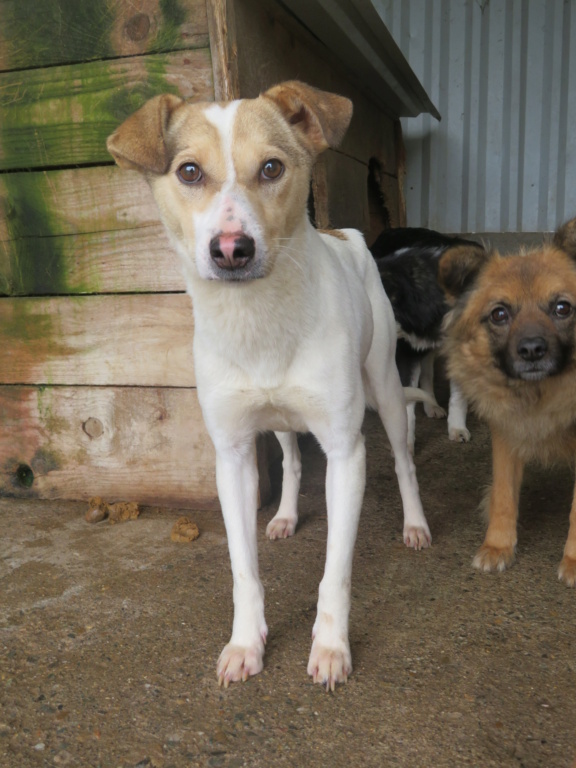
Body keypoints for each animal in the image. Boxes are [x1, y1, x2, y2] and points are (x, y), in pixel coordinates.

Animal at [109, 82, 432, 688]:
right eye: (189, 171)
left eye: (272, 167)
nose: (232, 249)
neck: (257, 320)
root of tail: (341, 232)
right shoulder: (232, 456)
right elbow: (244, 570)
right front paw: (245, 643)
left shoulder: (346, 451)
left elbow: (335, 573)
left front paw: (330, 646)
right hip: (280, 421)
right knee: (292, 457)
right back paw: (283, 515)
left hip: (384, 387)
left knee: (404, 460)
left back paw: (416, 523)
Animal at [368, 228, 486, 452]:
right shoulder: (406, 352)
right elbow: (406, 400)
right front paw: (405, 442)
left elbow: (457, 396)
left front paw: (457, 428)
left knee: (427, 373)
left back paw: (432, 405)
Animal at [438, 218, 576, 588]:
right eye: (499, 314)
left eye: (562, 308)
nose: (531, 350)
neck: (541, 395)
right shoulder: (506, 433)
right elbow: (502, 494)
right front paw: (498, 546)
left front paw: (573, 562)